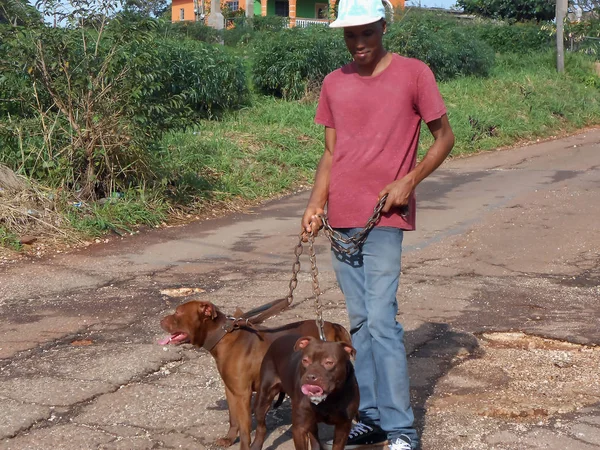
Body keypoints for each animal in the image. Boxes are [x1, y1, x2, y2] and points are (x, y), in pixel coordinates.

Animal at [158, 300, 352, 450]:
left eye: (178, 312)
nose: (160, 320)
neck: (222, 336)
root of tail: (334, 326)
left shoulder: (243, 394)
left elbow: (245, 429)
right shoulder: (231, 390)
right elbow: (233, 418)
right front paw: (229, 439)